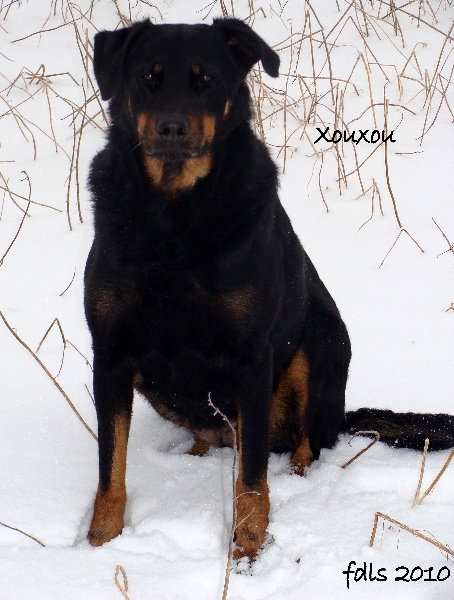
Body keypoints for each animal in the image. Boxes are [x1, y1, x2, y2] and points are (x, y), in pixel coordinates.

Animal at [84, 18, 454, 561]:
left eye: (207, 80)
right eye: (147, 77)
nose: (171, 128)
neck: (173, 218)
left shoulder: (252, 356)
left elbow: (253, 480)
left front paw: (249, 548)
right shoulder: (111, 353)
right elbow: (111, 472)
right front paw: (99, 544)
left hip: (321, 342)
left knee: (304, 445)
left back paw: (297, 478)